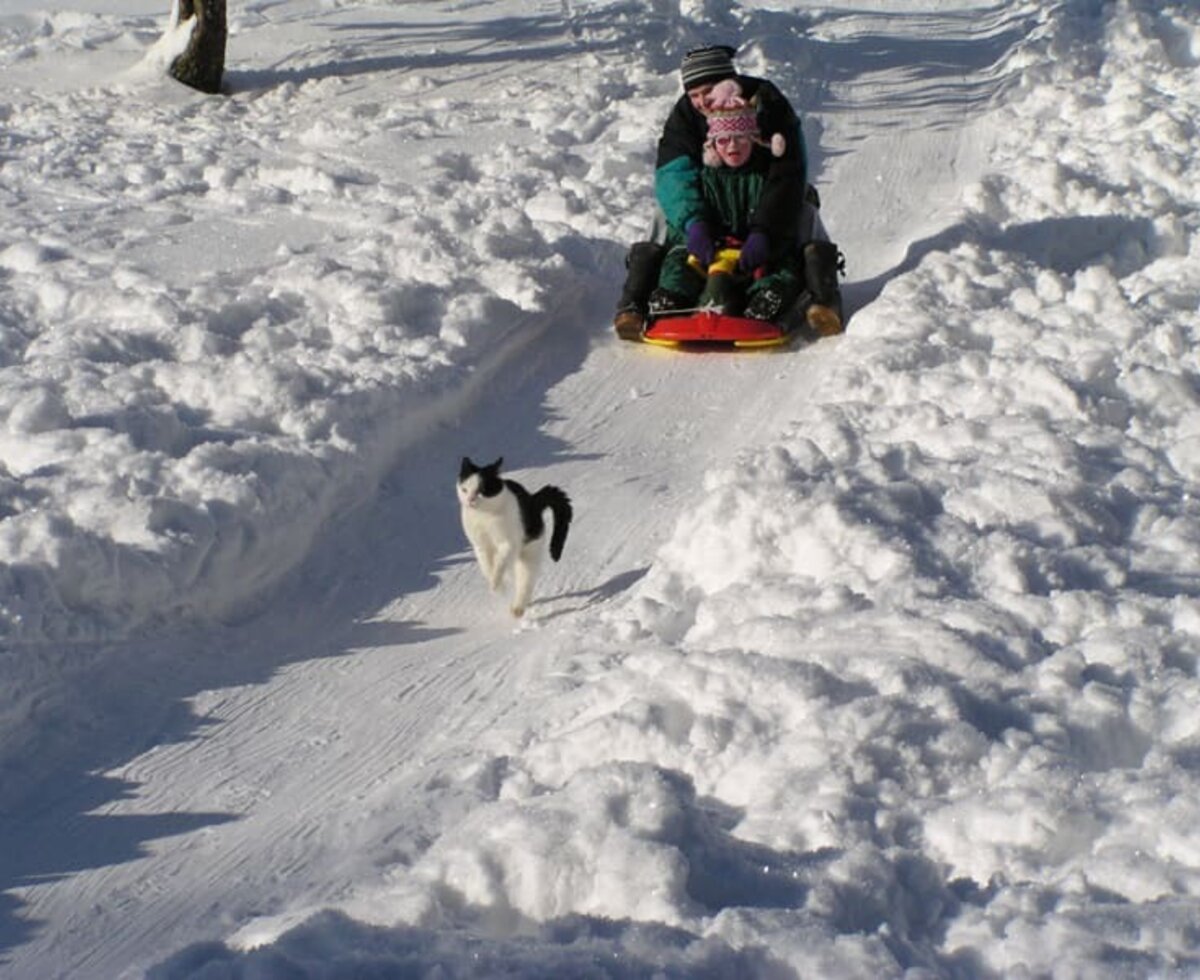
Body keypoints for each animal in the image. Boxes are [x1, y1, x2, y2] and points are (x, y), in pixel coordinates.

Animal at [456, 455, 573, 611]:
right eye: (464, 489)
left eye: (481, 490)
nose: (470, 500)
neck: (484, 515)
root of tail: (532, 499)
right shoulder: (480, 546)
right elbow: (486, 567)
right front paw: (498, 587)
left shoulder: (508, 544)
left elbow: (499, 564)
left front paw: (496, 584)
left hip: (529, 552)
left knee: (525, 582)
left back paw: (517, 608)